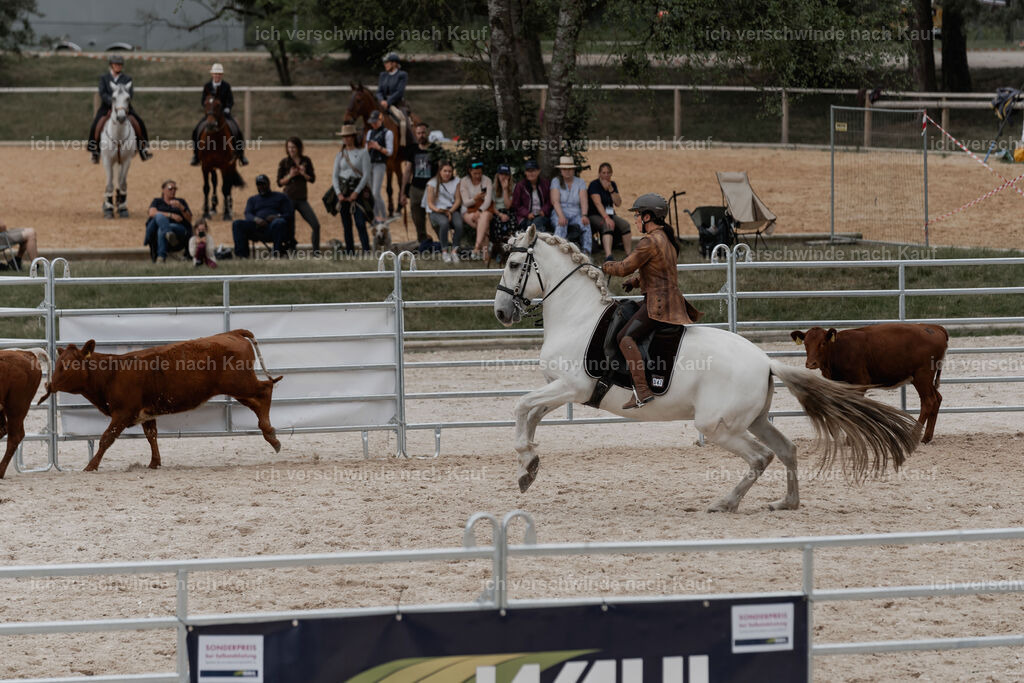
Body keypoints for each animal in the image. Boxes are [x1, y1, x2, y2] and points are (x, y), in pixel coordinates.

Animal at [100, 84, 135, 219]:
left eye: (128, 98)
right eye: (113, 98)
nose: (120, 117)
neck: (118, 136)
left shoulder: (126, 160)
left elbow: (122, 183)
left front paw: (123, 208)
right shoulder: (107, 160)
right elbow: (109, 184)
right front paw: (109, 209)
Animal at [345, 82, 417, 220]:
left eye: (358, 100)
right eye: (349, 98)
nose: (348, 120)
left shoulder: (388, 162)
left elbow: (389, 188)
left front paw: (390, 210)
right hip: (397, 162)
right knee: (401, 180)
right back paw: (399, 208)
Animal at [493, 227, 922, 512]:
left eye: (514, 263)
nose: (501, 312)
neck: (578, 316)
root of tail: (765, 361)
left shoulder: (572, 387)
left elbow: (520, 407)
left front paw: (526, 460)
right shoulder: (560, 388)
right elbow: (531, 413)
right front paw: (528, 468)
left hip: (717, 426)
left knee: (761, 458)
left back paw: (724, 502)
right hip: (751, 419)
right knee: (786, 450)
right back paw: (786, 502)